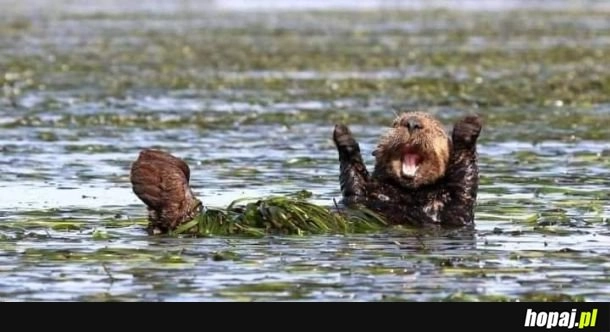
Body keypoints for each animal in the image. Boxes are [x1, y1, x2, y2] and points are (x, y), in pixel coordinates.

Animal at [330, 111, 482, 226]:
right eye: (395, 123)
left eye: (437, 128)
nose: (412, 123)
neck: (410, 194)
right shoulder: (360, 197)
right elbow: (355, 184)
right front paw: (343, 134)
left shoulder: (456, 208)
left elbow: (464, 181)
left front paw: (469, 124)